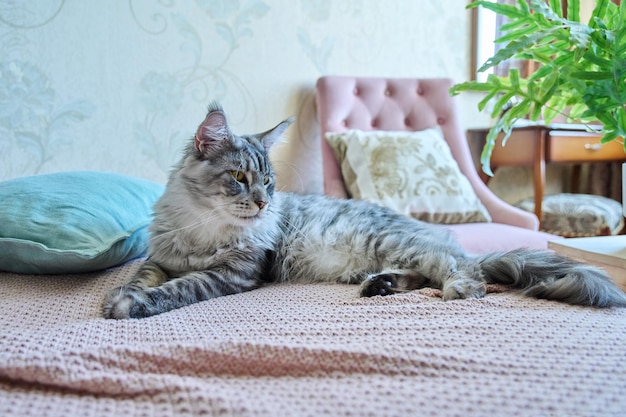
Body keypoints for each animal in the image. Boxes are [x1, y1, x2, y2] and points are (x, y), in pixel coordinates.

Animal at [102, 104, 624, 318]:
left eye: (268, 182)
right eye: (239, 178)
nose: (264, 202)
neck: (204, 230)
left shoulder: (234, 272)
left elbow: (180, 287)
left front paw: (132, 306)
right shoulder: (161, 256)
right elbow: (143, 274)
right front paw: (119, 296)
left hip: (395, 242)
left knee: (458, 269)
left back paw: (458, 289)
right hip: (383, 254)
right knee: (425, 272)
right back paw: (382, 286)